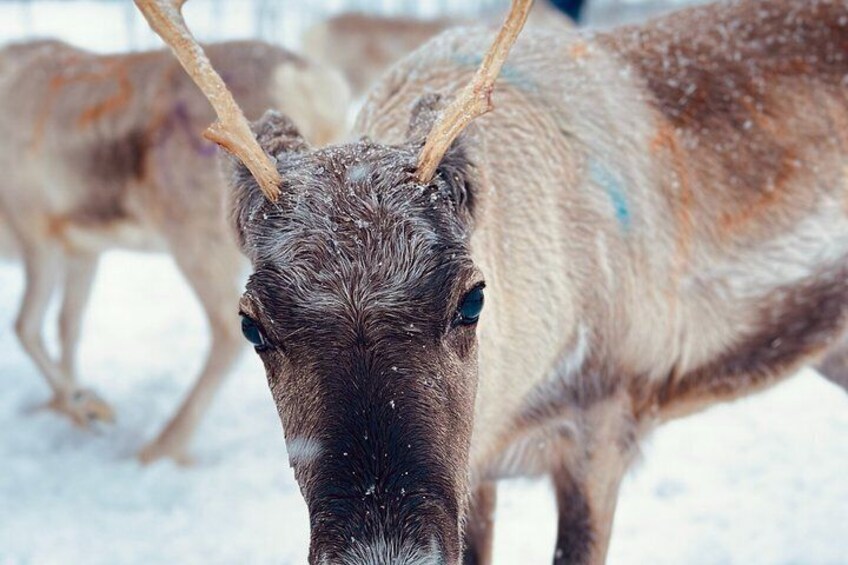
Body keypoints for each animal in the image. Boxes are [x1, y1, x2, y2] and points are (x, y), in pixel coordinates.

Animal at [0, 38, 350, 464]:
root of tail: (310, 85)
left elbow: (25, 327)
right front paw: (73, 407)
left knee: (226, 332)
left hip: (196, 238)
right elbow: (68, 326)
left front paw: (85, 407)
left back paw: (161, 447)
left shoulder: (36, 232)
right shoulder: (83, 248)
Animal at [138, 0, 848, 561]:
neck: (511, 402)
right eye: (252, 324)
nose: (383, 555)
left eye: (472, 297)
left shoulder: (603, 426)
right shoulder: (477, 474)